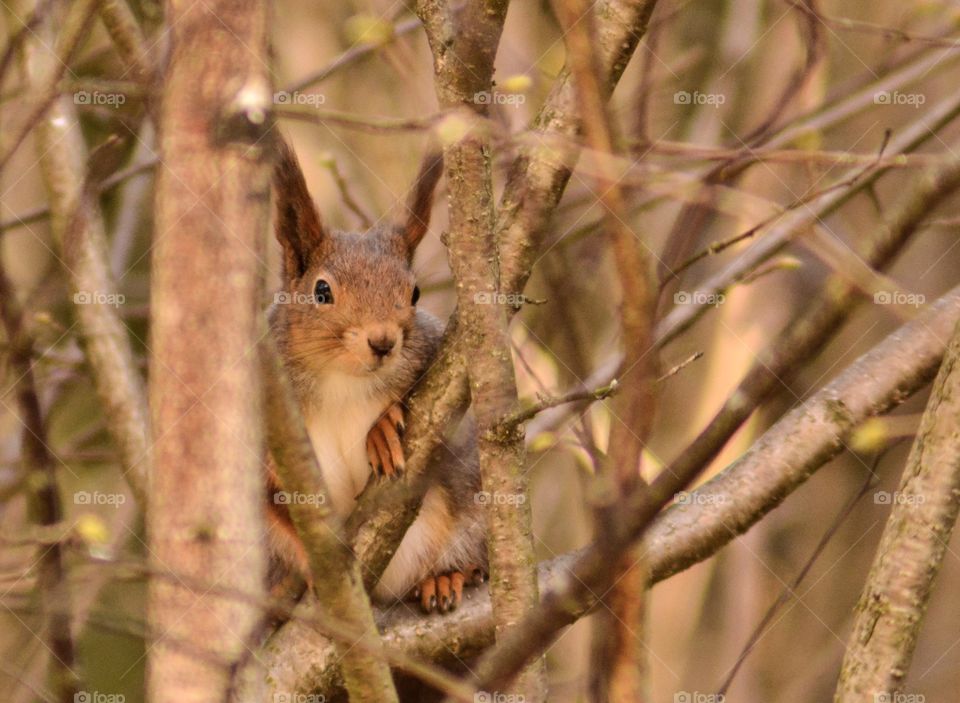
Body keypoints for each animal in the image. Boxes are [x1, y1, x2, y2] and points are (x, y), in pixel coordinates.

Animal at [264, 135, 484, 612]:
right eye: (321, 291)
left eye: (415, 292)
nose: (383, 342)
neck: (342, 381)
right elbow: (272, 504)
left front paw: (383, 429)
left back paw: (446, 577)